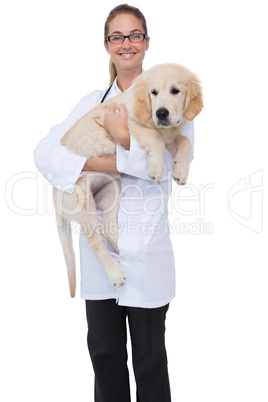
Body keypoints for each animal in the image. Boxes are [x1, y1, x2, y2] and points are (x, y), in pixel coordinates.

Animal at [53, 62, 202, 296]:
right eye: (154, 93)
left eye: (175, 91)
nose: (161, 113)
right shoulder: (131, 125)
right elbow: (155, 137)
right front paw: (156, 169)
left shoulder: (171, 134)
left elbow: (185, 140)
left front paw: (180, 171)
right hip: (82, 199)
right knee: (94, 239)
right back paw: (115, 272)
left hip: (111, 191)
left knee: (106, 228)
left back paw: (124, 253)